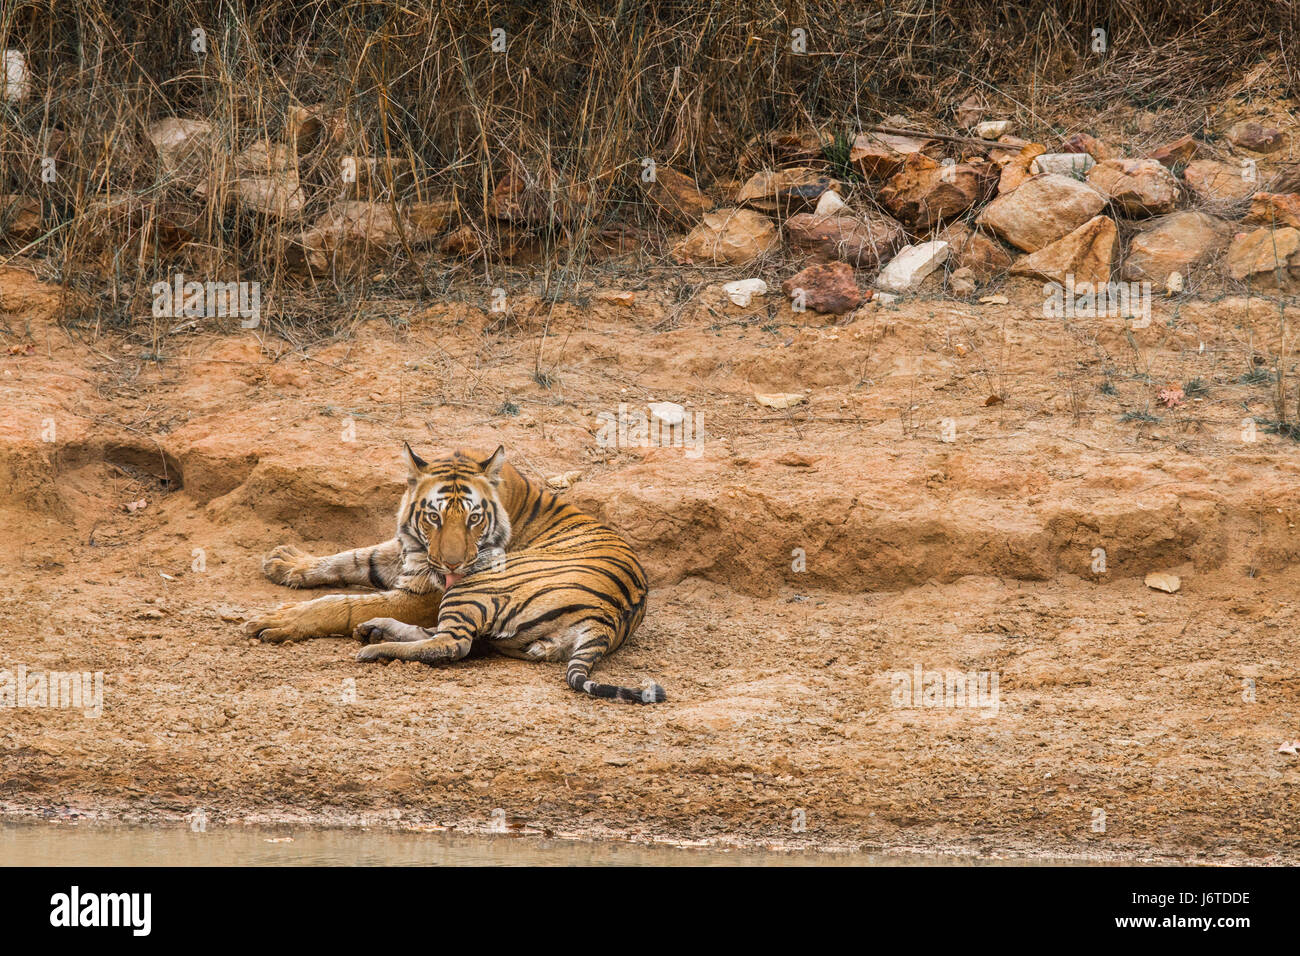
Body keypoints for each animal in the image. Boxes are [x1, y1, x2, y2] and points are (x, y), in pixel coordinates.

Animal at [244, 444, 670, 707]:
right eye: (433, 517)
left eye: (474, 518)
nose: (451, 565)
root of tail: (609, 619)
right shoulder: (408, 553)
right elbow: (351, 558)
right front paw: (285, 562)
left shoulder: (423, 593)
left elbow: (342, 603)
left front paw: (278, 620)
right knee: (452, 637)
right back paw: (377, 631)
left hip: (476, 587)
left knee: (454, 644)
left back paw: (374, 647)